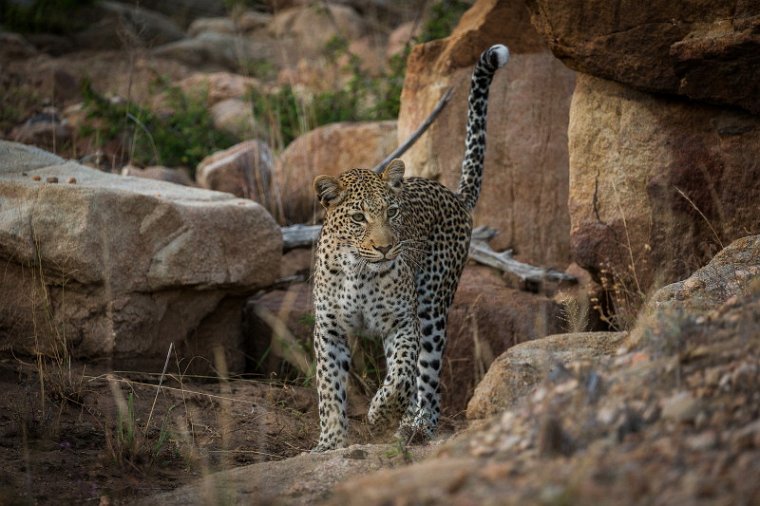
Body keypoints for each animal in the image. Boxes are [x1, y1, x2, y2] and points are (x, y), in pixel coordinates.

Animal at [308, 43, 510, 450]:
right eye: (359, 217)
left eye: (393, 211)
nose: (387, 248)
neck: (358, 271)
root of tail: (453, 195)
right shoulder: (329, 328)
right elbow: (329, 387)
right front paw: (330, 441)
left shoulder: (403, 323)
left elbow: (402, 375)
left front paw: (380, 413)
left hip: (432, 307)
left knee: (428, 380)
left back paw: (416, 426)